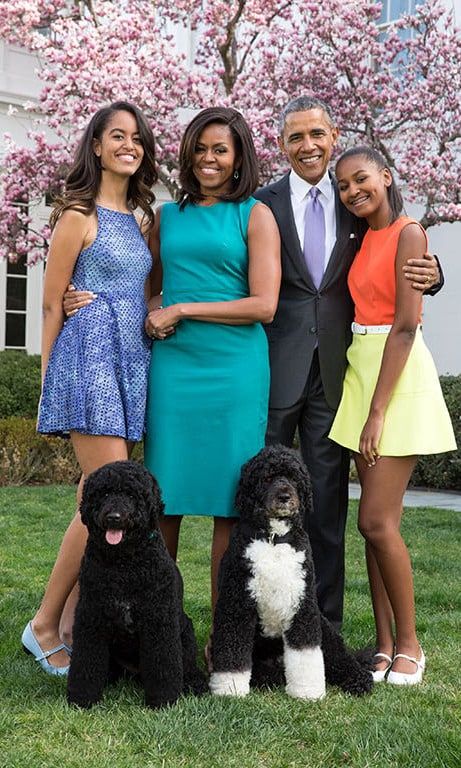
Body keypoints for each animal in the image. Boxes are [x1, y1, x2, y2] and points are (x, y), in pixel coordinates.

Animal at [210, 444, 372, 704]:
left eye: (295, 478)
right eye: (267, 478)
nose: (285, 497)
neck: (274, 539)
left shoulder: (303, 606)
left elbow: (305, 653)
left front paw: (307, 691)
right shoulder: (237, 603)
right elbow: (232, 652)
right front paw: (230, 689)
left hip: (325, 628)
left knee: (342, 658)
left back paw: (359, 679)